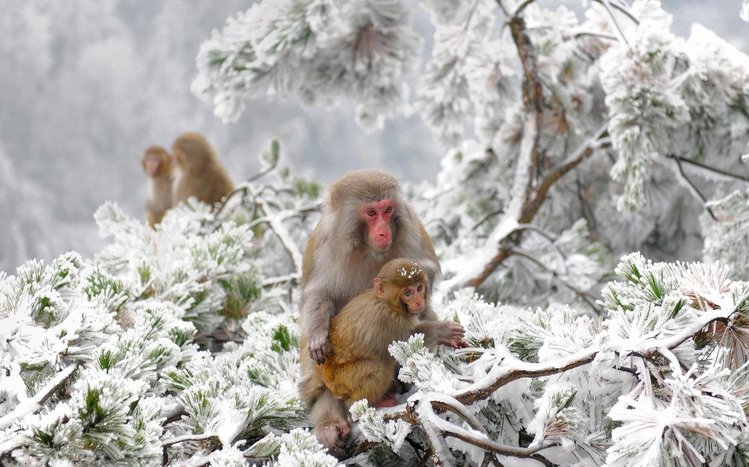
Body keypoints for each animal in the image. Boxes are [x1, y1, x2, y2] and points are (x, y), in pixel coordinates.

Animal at [297, 169, 465, 455]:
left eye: (387, 210)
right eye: (371, 213)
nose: (384, 232)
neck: (367, 248)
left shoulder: (411, 229)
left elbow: (426, 272)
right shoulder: (323, 246)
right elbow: (318, 295)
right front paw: (319, 333)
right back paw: (330, 423)